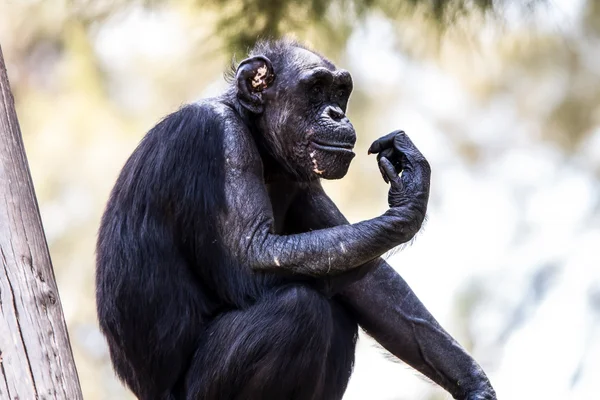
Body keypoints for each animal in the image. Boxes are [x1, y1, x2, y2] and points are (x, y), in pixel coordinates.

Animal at [95, 38, 496, 400]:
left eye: (339, 91)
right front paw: (408, 203)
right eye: (316, 88)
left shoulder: (305, 180)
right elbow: (253, 255)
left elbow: (371, 283)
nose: (337, 114)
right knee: (299, 308)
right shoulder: (217, 138)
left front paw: (474, 383)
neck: (255, 131)